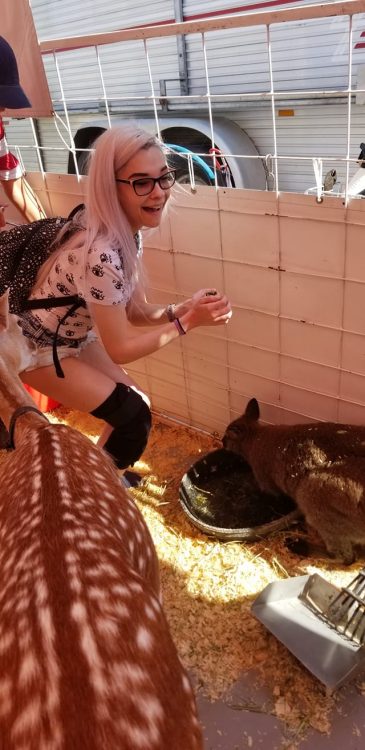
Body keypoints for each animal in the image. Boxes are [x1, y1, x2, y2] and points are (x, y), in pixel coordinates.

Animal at [222, 400, 365, 564]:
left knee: (346, 558)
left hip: (313, 495)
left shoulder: (265, 481)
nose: (222, 442)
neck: (254, 438)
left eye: (227, 437)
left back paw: (297, 546)